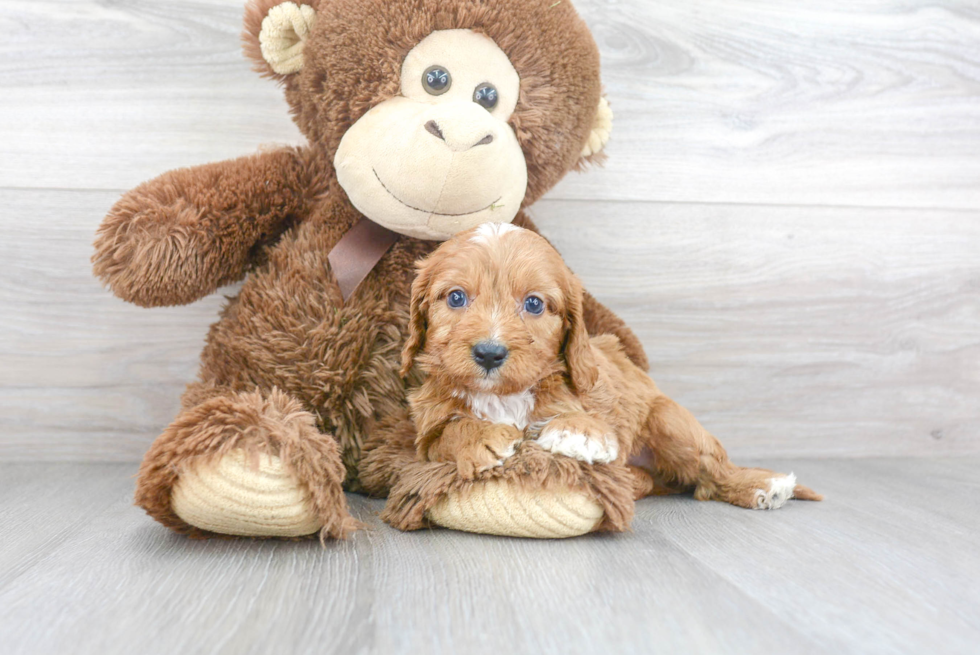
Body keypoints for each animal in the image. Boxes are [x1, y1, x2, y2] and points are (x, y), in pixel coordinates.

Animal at [398, 223, 820, 510]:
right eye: (456, 297)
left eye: (534, 304)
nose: (489, 353)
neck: (503, 396)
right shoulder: (426, 436)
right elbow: (450, 432)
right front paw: (481, 435)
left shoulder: (594, 391)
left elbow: (587, 413)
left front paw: (579, 432)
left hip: (670, 422)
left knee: (714, 471)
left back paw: (762, 487)